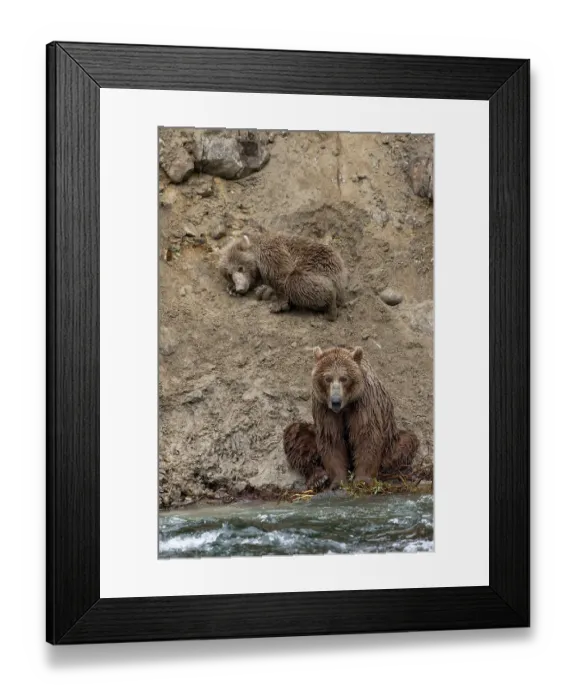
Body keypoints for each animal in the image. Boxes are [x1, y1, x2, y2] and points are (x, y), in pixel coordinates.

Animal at [217, 230, 348, 321]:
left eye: (240, 268)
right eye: (229, 274)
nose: (240, 288)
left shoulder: (272, 253)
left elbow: (281, 275)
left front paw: (278, 305)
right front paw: (232, 289)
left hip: (319, 267)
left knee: (296, 282)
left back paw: (330, 309)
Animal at [283, 345, 419, 490]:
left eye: (344, 378)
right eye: (327, 378)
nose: (335, 401)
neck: (346, 405)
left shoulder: (364, 403)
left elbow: (367, 436)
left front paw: (362, 480)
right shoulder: (324, 408)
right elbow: (331, 439)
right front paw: (338, 481)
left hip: (391, 440)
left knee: (406, 442)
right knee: (296, 435)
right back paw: (317, 478)